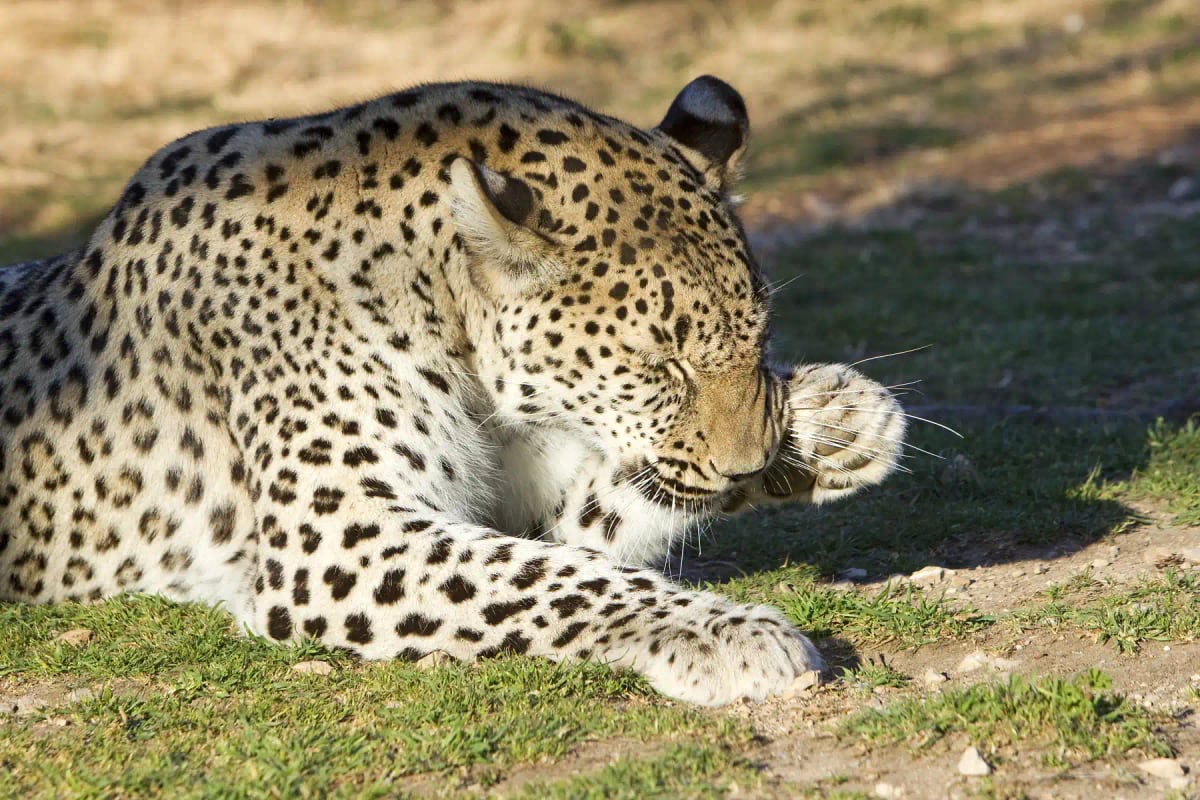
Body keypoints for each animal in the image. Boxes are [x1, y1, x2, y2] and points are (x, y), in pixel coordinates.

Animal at [0, 75, 906, 706]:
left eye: (759, 335)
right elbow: (556, 579)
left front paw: (839, 422)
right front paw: (727, 631)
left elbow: (588, 526)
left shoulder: (504, 505)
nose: (747, 464)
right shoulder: (334, 536)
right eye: (661, 363)